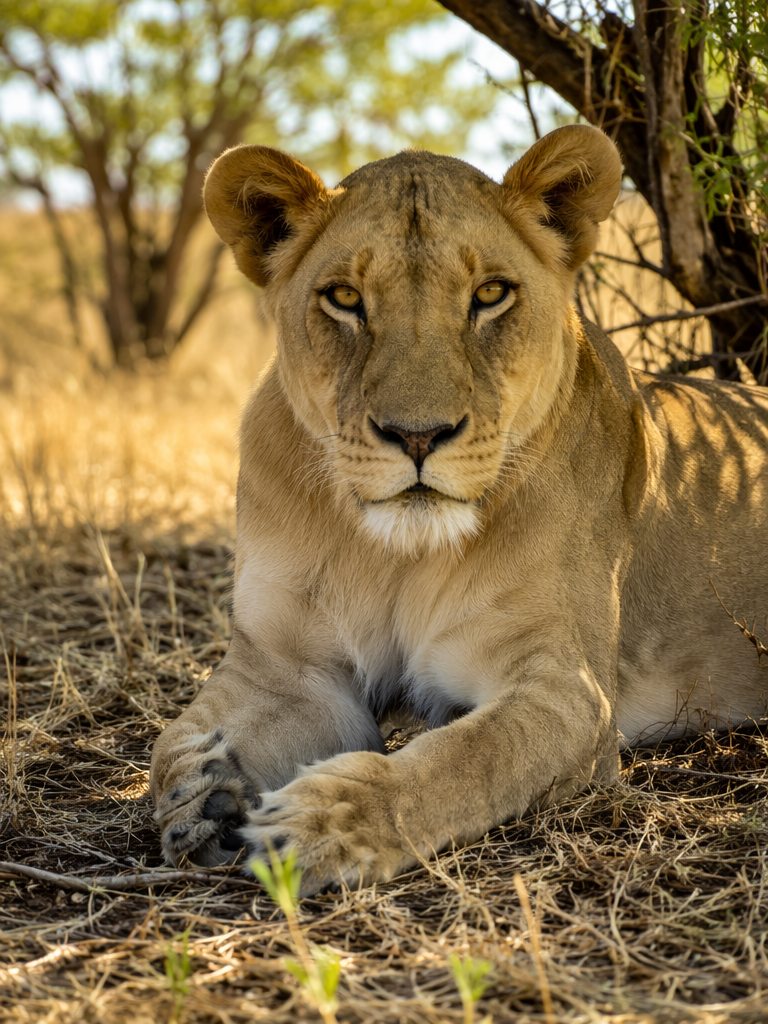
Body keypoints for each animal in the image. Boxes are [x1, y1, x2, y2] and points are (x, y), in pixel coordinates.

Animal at [150, 125, 768, 893]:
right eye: (345, 297)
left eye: (491, 294)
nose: (418, 436)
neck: (392, 553)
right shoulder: (289, 668)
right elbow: (171, 742)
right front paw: (204, 791)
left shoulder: (567, 691)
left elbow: (467, 760)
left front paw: (326, 823)